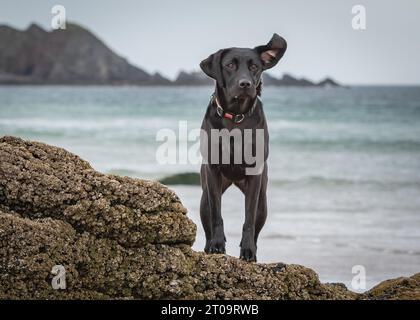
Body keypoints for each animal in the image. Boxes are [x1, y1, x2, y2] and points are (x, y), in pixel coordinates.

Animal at [199, 33, 286, 262]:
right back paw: (208, 247)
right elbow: (217, 215)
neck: (236, 116)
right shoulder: (212, 171)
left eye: (254, 66)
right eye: (230, 65)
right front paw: (217, 245)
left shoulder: (254, 177)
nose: (245, 84)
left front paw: (247, 251)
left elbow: (248, 219)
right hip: (204, 197)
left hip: (263, 201)